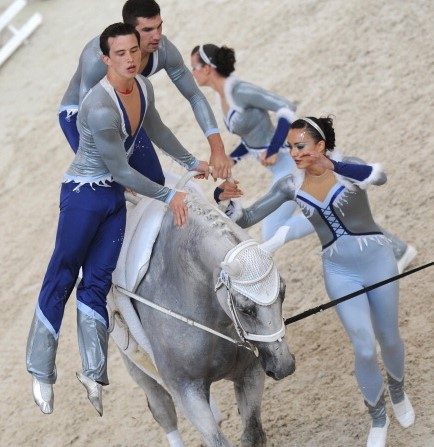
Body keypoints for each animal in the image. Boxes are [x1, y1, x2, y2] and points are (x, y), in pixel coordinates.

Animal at [119, 196, 294, 447]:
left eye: (283, 292)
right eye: (244, 308)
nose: (284, 366)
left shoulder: (250, 372)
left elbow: (253, 433)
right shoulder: (186, 390)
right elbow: (216, 440)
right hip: (137, 367)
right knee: (163, 412)